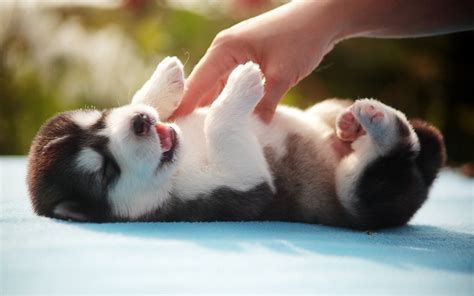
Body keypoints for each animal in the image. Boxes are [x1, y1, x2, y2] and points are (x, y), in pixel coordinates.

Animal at [27, 56, 446, 230]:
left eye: (99, 119)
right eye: (107, 171)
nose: (141, 123)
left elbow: (149, 96)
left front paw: (163, 82)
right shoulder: (242, 186)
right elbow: (218, 125)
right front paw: (242, 85)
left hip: (326, 112)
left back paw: (354, 121)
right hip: (358, 196)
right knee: (391, 163)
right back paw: (382, 127)